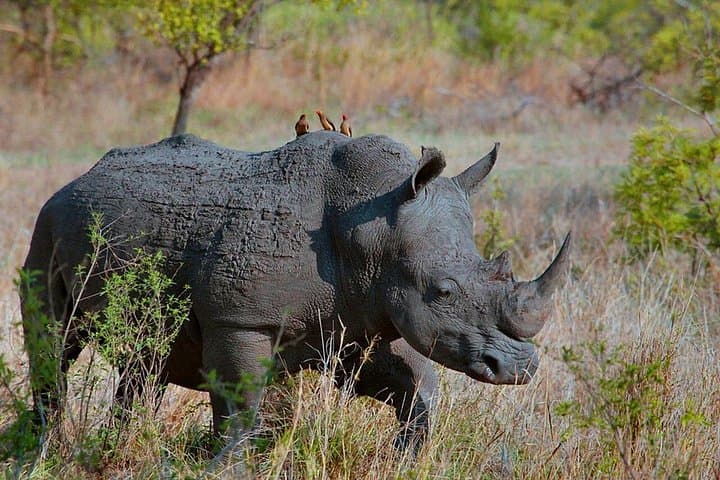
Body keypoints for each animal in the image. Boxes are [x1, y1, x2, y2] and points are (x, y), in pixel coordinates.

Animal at [22, 131, 570, 449]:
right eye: (444, 291)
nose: (519, 369)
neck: (373, 227)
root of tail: (79, 177)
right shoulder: (240, 320)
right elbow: (240, 407)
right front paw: (227, 465)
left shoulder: (356, 317)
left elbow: (416, 386)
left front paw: (405, 456)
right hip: (47, 222)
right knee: (54, 341)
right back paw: (43, 451)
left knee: (145, 361)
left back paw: (112, 448)